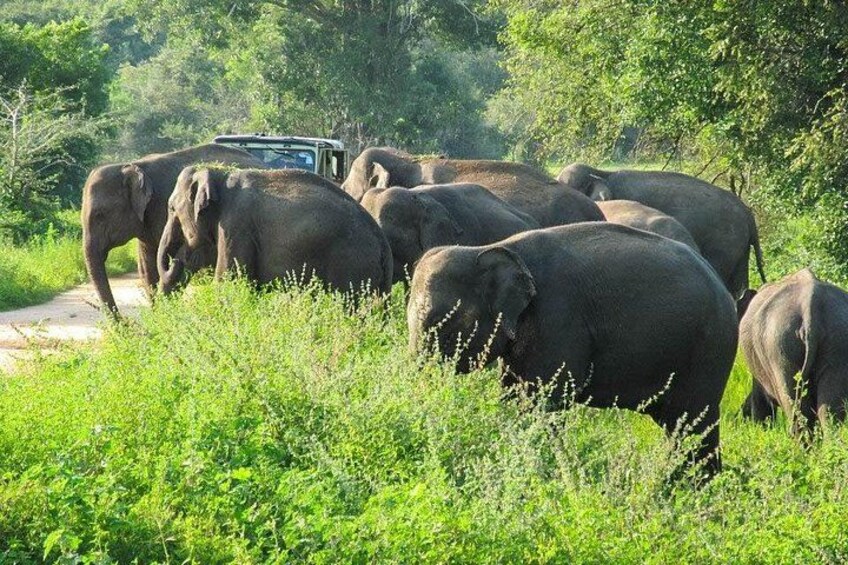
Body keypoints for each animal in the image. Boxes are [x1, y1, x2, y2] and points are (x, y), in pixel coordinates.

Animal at [157, 167, 393, 295]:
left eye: (171, 208)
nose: (176, 262)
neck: (219, 174)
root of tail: (382, 242)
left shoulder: (236, 224)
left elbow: (229, 281)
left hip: (351, 262)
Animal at [407, 223, 738, 476]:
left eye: (438, 321)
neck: (489, 248)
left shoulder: (558, 319)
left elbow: (544, 404)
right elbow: (514, 394)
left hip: (709, 349)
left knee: (693, 423)